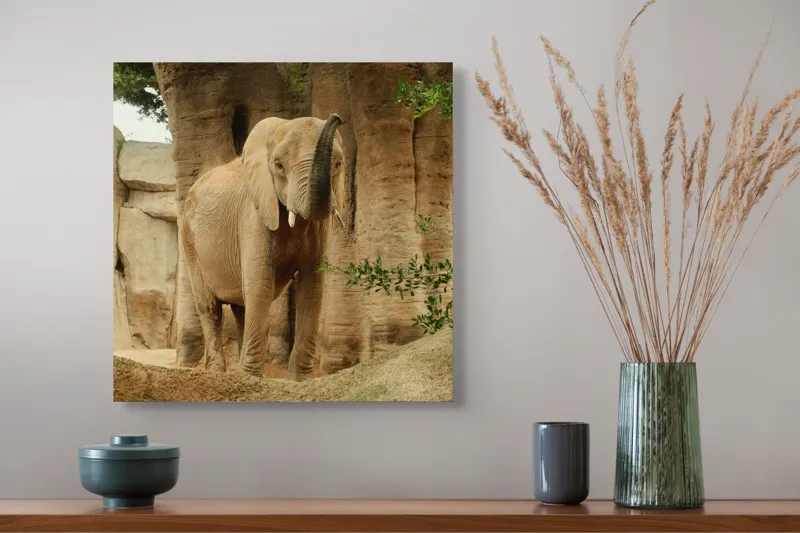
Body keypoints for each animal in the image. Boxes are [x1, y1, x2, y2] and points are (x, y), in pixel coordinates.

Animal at [178, 113, 346, 381]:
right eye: (278, 166)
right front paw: (251, 379)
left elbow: (311, 287)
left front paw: (297, 381)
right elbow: (261, 284)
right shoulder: (253, 214)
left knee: (241, 307)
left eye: (338, 164)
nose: (336, 117)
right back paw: (218, 373)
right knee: (210, 307)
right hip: (189, 240)